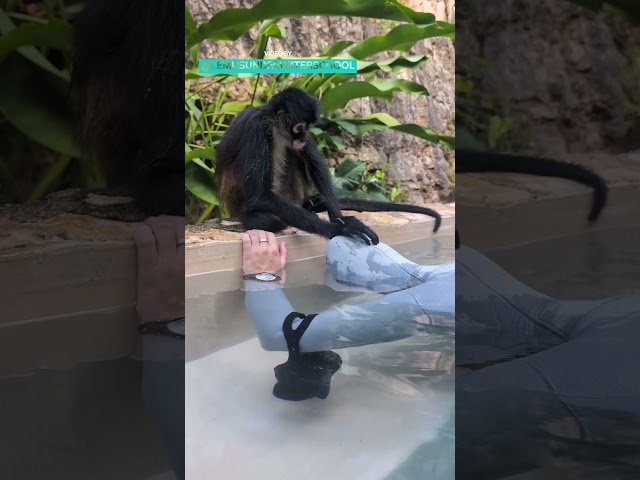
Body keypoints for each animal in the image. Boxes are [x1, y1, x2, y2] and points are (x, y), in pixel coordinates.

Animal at [215, 87, 442, 245]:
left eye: (307, 128)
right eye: (299, 128)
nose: (303, 137)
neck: (273, 126)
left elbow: (315, 163)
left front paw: (341, 219)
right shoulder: (257, 129)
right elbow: (260, 194)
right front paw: (337, 230)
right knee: (271, 220)